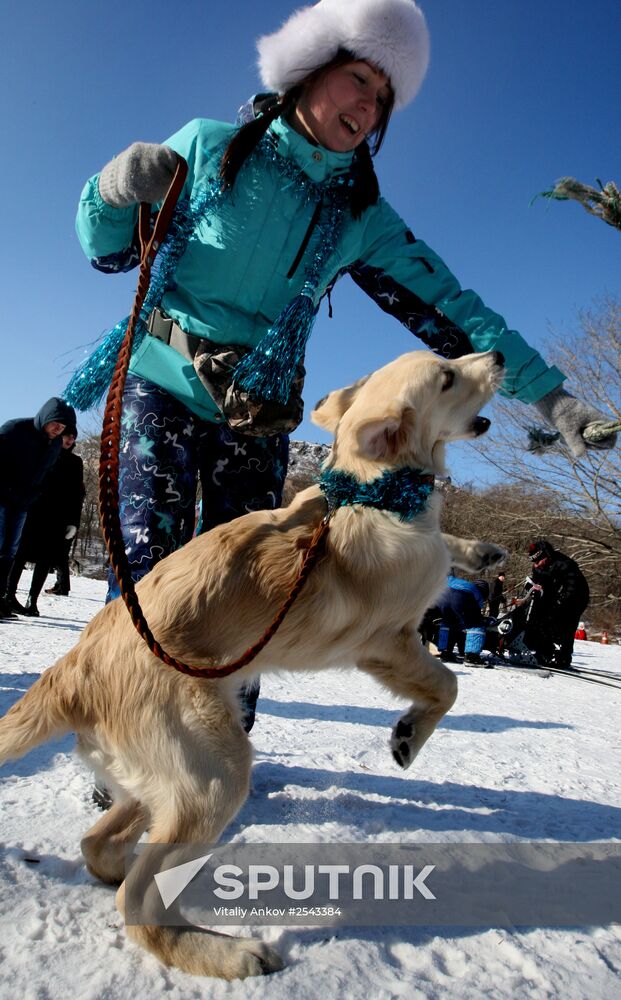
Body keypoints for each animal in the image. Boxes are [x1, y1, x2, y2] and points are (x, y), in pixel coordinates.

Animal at [0, 348, 504, 980]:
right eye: (447, 376)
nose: (498, 353)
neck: (374, 493)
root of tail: (73, 671)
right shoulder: (389, 642)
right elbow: (448, 684)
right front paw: (409, 736)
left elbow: (447, 546)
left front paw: (480, 550)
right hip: (218, 774)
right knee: (136, 904)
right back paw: (225, 952)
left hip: (163, 780)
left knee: (101, 848)